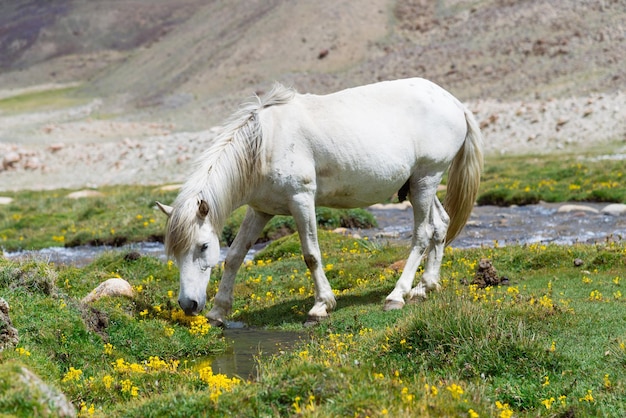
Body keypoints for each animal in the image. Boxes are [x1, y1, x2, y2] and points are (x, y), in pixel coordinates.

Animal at [156, 79, 482, 326]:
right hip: (418, 185)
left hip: (427, 179)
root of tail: (454, 103)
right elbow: (235, 255)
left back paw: (397, 295)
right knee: (440, 225)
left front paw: (321, 305)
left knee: (422, 234)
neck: (265, 145)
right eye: (174, 253)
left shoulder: (301, 200)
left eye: (203, 246)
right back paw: (425, 287)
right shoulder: (260, 210)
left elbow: (310, 254)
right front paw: (218, 311)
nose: (188, 304)